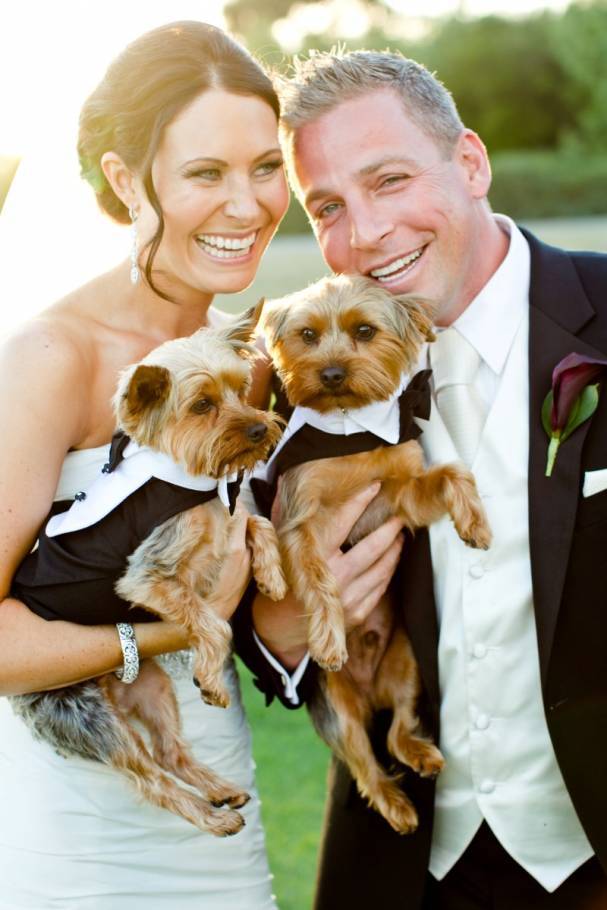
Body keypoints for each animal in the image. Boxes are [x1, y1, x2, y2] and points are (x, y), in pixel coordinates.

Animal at [11, 308, 288, 840]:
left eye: (240, 389)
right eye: (202, 405)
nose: (259, 429)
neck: (197, 482)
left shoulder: (226, 523)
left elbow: (255, 522)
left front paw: (273, 575)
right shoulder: (148, 576)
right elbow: (211, 622)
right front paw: (212, 677)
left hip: (152, 686)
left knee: (169, 750)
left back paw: (219, 790)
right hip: (83, 713)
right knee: (149, 776)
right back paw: (210, 816)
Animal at [258, 276, 494, 832]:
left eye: (365, 331)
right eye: (307, 335)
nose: (331, 373)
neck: (351, 432)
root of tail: (368, 695)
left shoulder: (401, 496)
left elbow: (450, 474)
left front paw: (474, 522)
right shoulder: (298, 521)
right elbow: (319, 575)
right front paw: (328, 637)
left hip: (407, 665)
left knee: (396, 729)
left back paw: (421, 754)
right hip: (333, 706)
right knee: (363, 758)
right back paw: (396, 805)